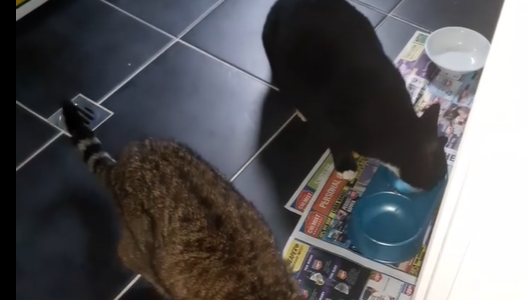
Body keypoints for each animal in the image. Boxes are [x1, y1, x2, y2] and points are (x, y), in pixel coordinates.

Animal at [262, 0, 448, 189]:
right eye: (439, 175)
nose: (439, 184)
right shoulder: (327, 119)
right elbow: (335, 141)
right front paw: (346, 166)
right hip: (280, 61)